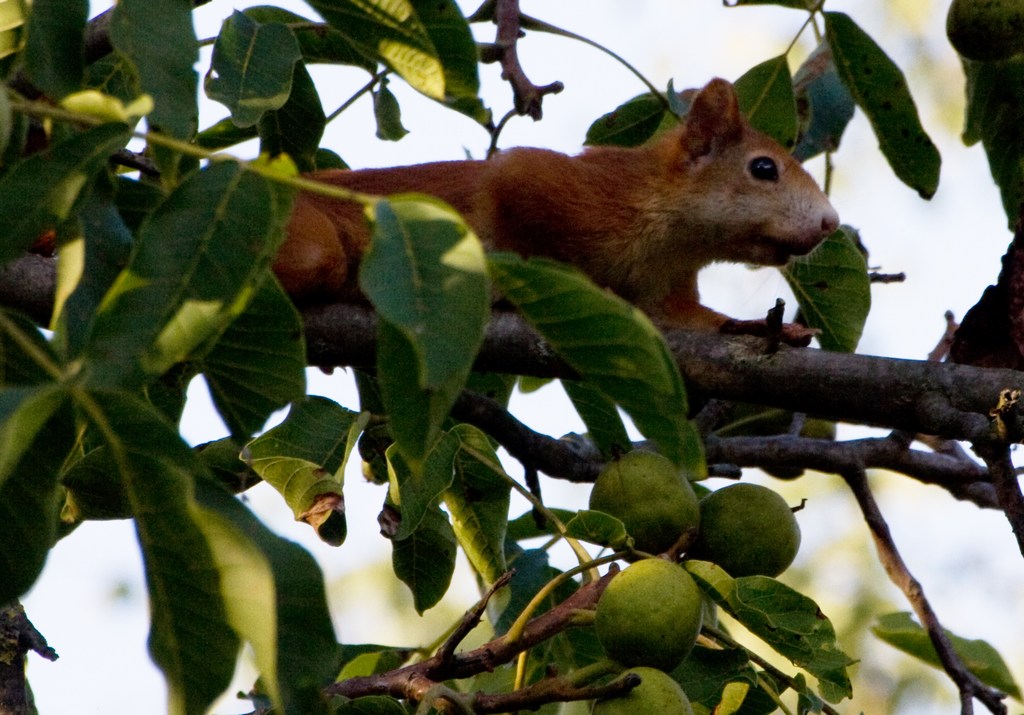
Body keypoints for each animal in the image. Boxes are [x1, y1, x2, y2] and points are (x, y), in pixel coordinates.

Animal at [273, 78, 839, 344]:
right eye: (763, 168)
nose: (831, 223)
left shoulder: (663, 293)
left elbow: (699, 321)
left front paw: (766, 329)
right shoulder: (558, 187)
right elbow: (509, 193)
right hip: (310, 241)